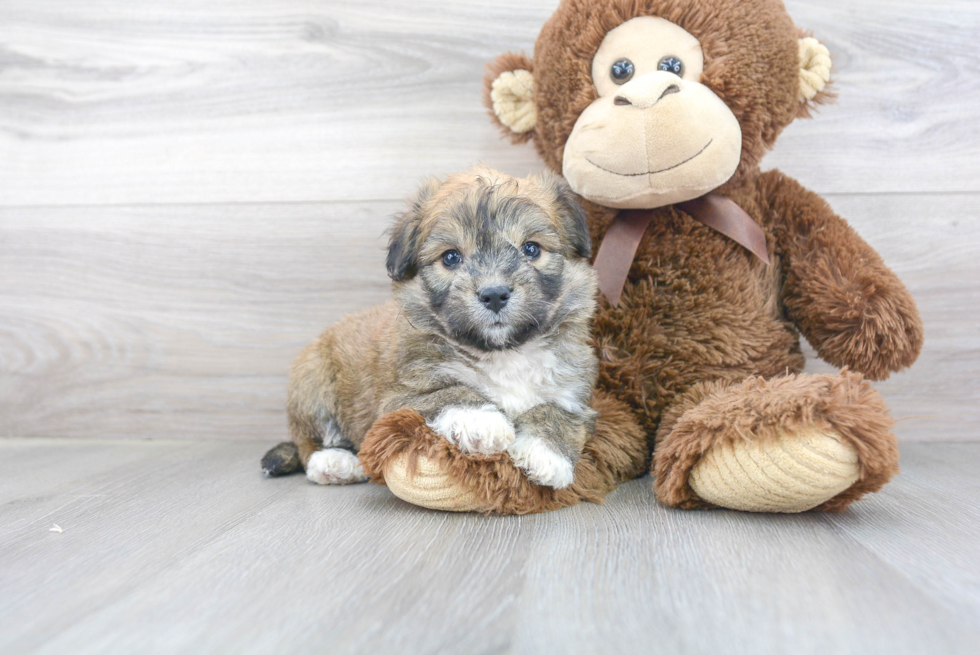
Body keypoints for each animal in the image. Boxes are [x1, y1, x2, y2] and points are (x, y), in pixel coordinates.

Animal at [260, 167, 596, 490]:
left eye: (531, 249)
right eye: (451, 257)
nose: (494, 294)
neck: (503, 353)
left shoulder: (573, 392)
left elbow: (557, 411)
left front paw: (544, 453)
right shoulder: (402, 397)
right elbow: (449, 391)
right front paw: (482, 422)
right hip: (312, 379)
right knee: (311, 442)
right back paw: (335, 463)